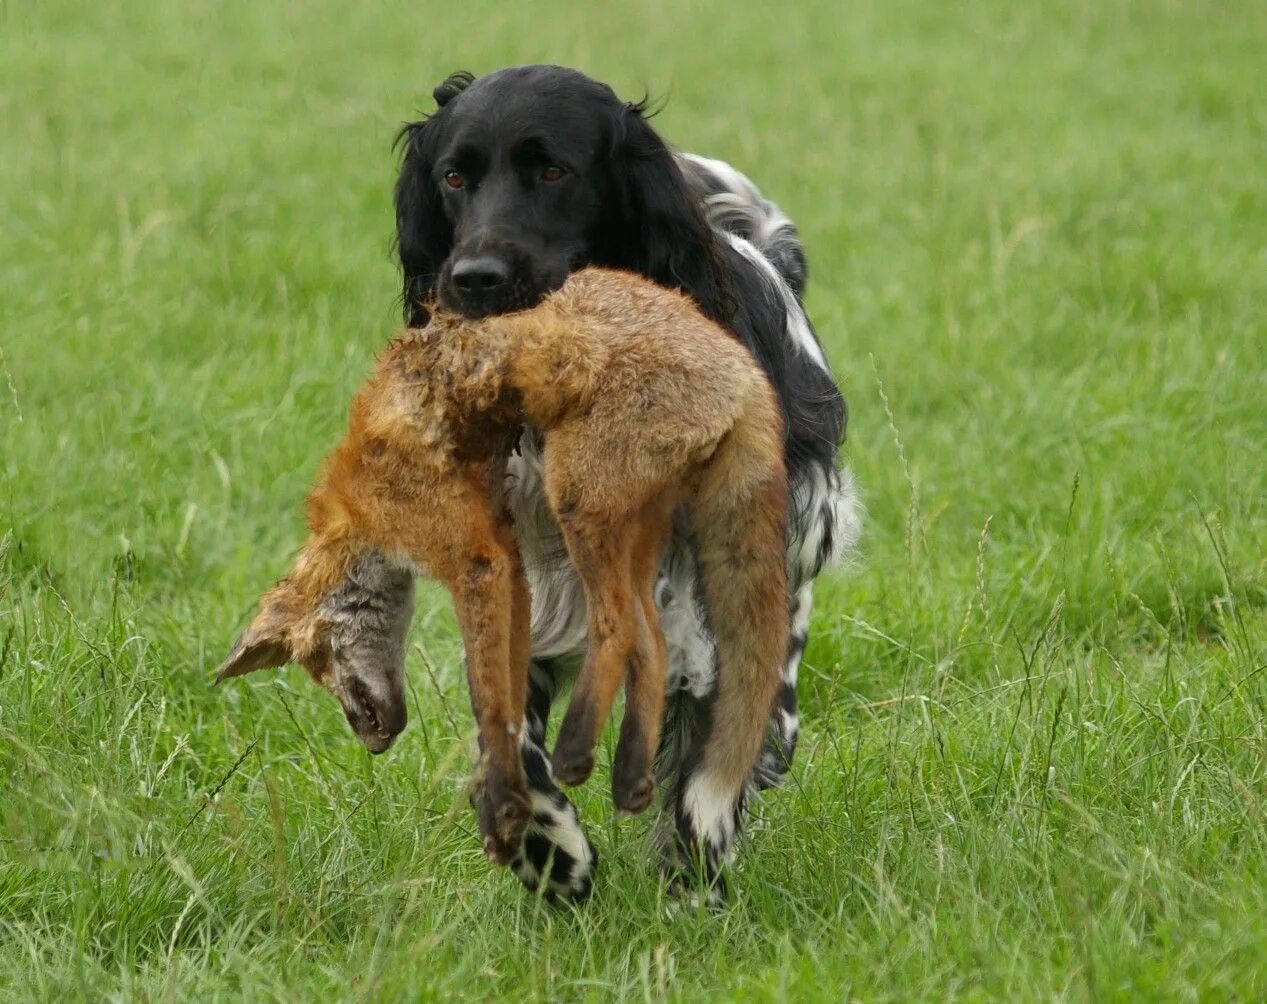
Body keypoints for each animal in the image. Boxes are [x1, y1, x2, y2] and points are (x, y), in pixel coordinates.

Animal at [219, 268, 790, 887]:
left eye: (318, 662)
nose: (370, 743)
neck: (358, 507)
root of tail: (746, 373)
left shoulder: (478, 560)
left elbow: (488, 700)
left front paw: (504, 811)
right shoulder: (512, 569)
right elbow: (503, 694)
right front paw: (519, 794)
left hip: (576, 501)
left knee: (616, 629)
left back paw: (575, 752)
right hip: (635, 532)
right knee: (651, 642)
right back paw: (629, 779)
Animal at [395, 64, 861, 902]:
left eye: (553, 171)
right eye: (453, 176)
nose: (473, 279)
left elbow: (704, 778)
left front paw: (690, 891)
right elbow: (512, 743)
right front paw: (552, 856)